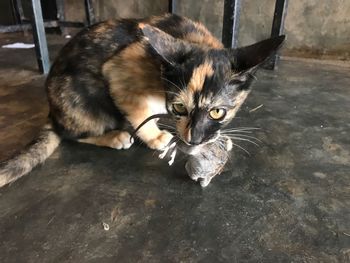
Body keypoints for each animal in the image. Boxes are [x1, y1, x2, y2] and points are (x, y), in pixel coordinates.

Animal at [0, 12, 284, 188]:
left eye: (217, 112)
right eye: (179, 107)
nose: (193, 139)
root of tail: (52, 111)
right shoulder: (117, 72)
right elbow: (139, 111)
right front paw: (156, 137)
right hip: (79, 97)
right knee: (70, 133)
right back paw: (114, 136)